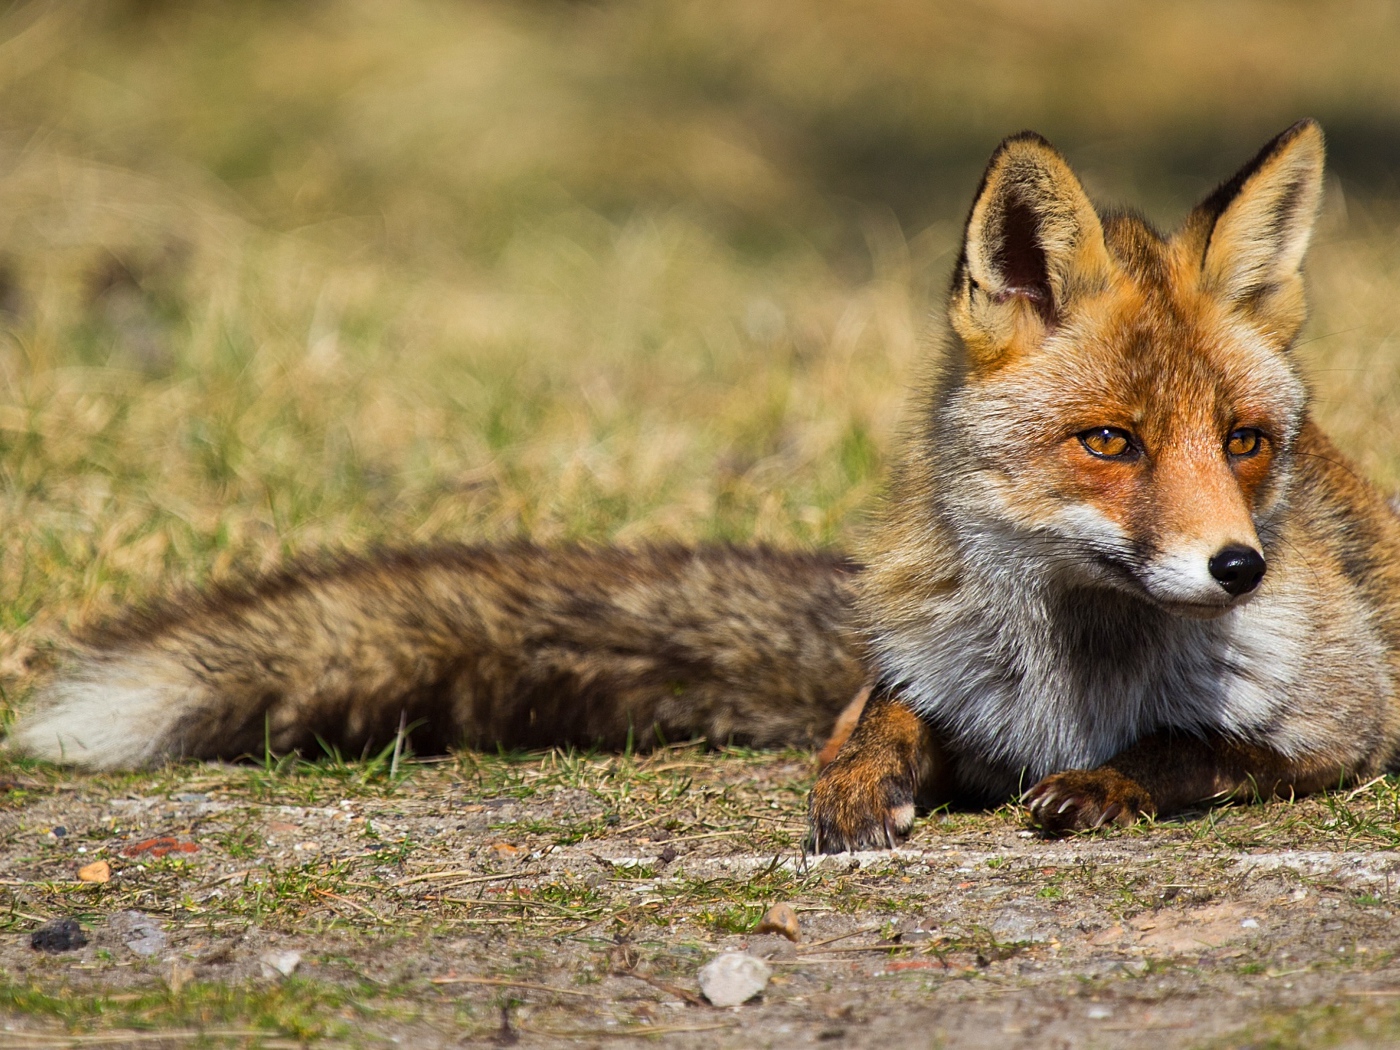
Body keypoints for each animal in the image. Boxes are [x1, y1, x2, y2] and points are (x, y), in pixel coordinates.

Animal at [8, 119, 1400, 856]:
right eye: (1108, 443)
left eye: (1242, 442)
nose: (1237, 567)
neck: (1074, 681)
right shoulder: (915, 671)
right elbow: (871, 718)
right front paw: (854, 787)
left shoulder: (1348, 726)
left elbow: (1193, 747)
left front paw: (1107, 782)